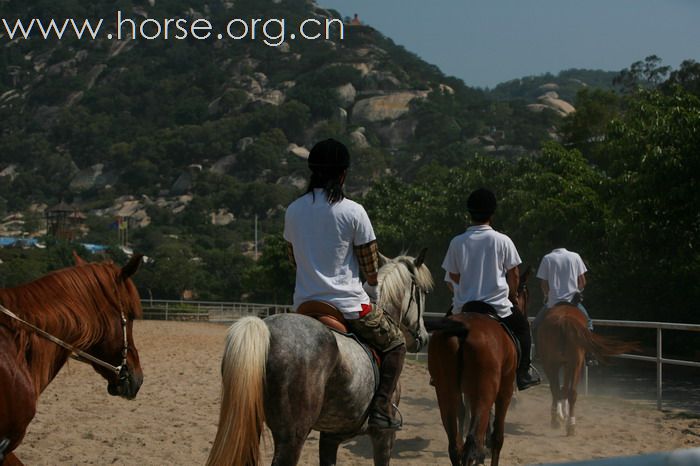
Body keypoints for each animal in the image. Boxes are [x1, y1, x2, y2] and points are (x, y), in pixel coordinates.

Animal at [206, 251, 432, 466]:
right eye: (423, 292)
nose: (423, 337)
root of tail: (266, 329)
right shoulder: (383, 436)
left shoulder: (331, 436)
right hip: (292, 436)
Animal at [426, 270, 532, 466]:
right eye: (525, 294)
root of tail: (463, 328)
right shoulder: (504, 391)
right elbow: (497, 437)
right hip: (485, 391)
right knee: (472, 443)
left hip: (446, 391)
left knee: (455, 445)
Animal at [536, 304, 640, 436]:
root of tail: (564, 321)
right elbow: (562, 388)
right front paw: (562, 414)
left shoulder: (562, 365)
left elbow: (561, 388)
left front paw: (561, 415)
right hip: (572, 364)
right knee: (569, 393)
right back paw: (570, 425)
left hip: (561, 364)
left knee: (560, 390)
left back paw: (559, 422)